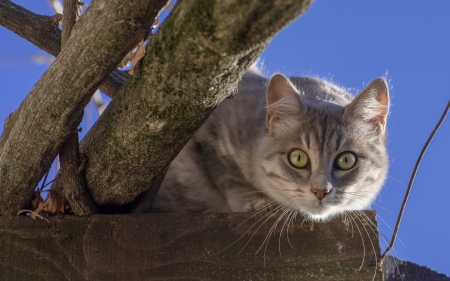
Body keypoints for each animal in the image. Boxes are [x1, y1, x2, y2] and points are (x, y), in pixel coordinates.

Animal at [149, 66, 388, 221]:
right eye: (298, 157)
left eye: (346, 160)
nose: (320, 191)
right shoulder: (212, 130)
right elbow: (227, 173)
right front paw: (255, 202)